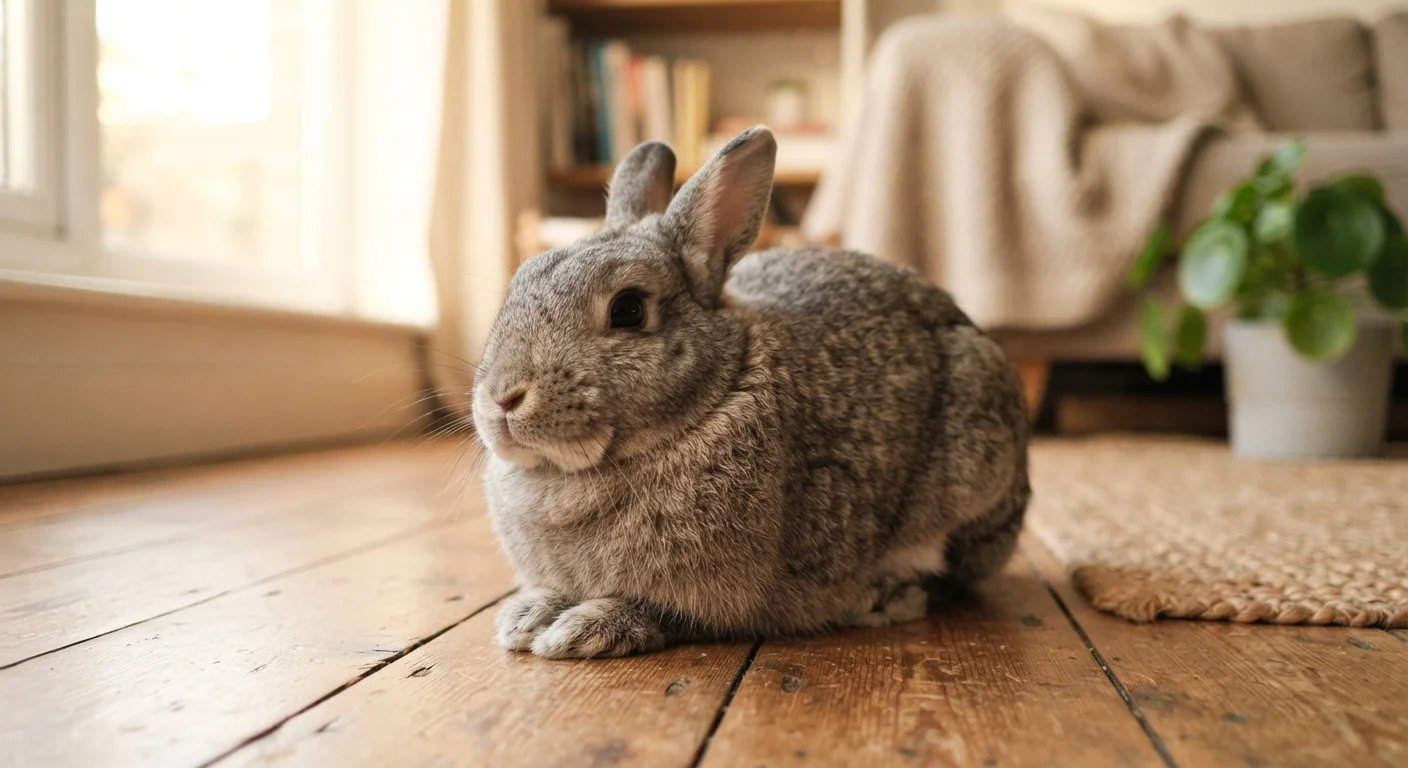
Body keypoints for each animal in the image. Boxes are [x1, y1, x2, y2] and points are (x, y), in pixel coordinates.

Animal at [471, 126, 1030, 659]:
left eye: (628, 309)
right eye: (517, 284)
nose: (502, 399)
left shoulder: (721, 598)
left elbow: (667, 614)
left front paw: (583, 629)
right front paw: (527, 615)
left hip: (975, 473)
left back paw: (883, 598)